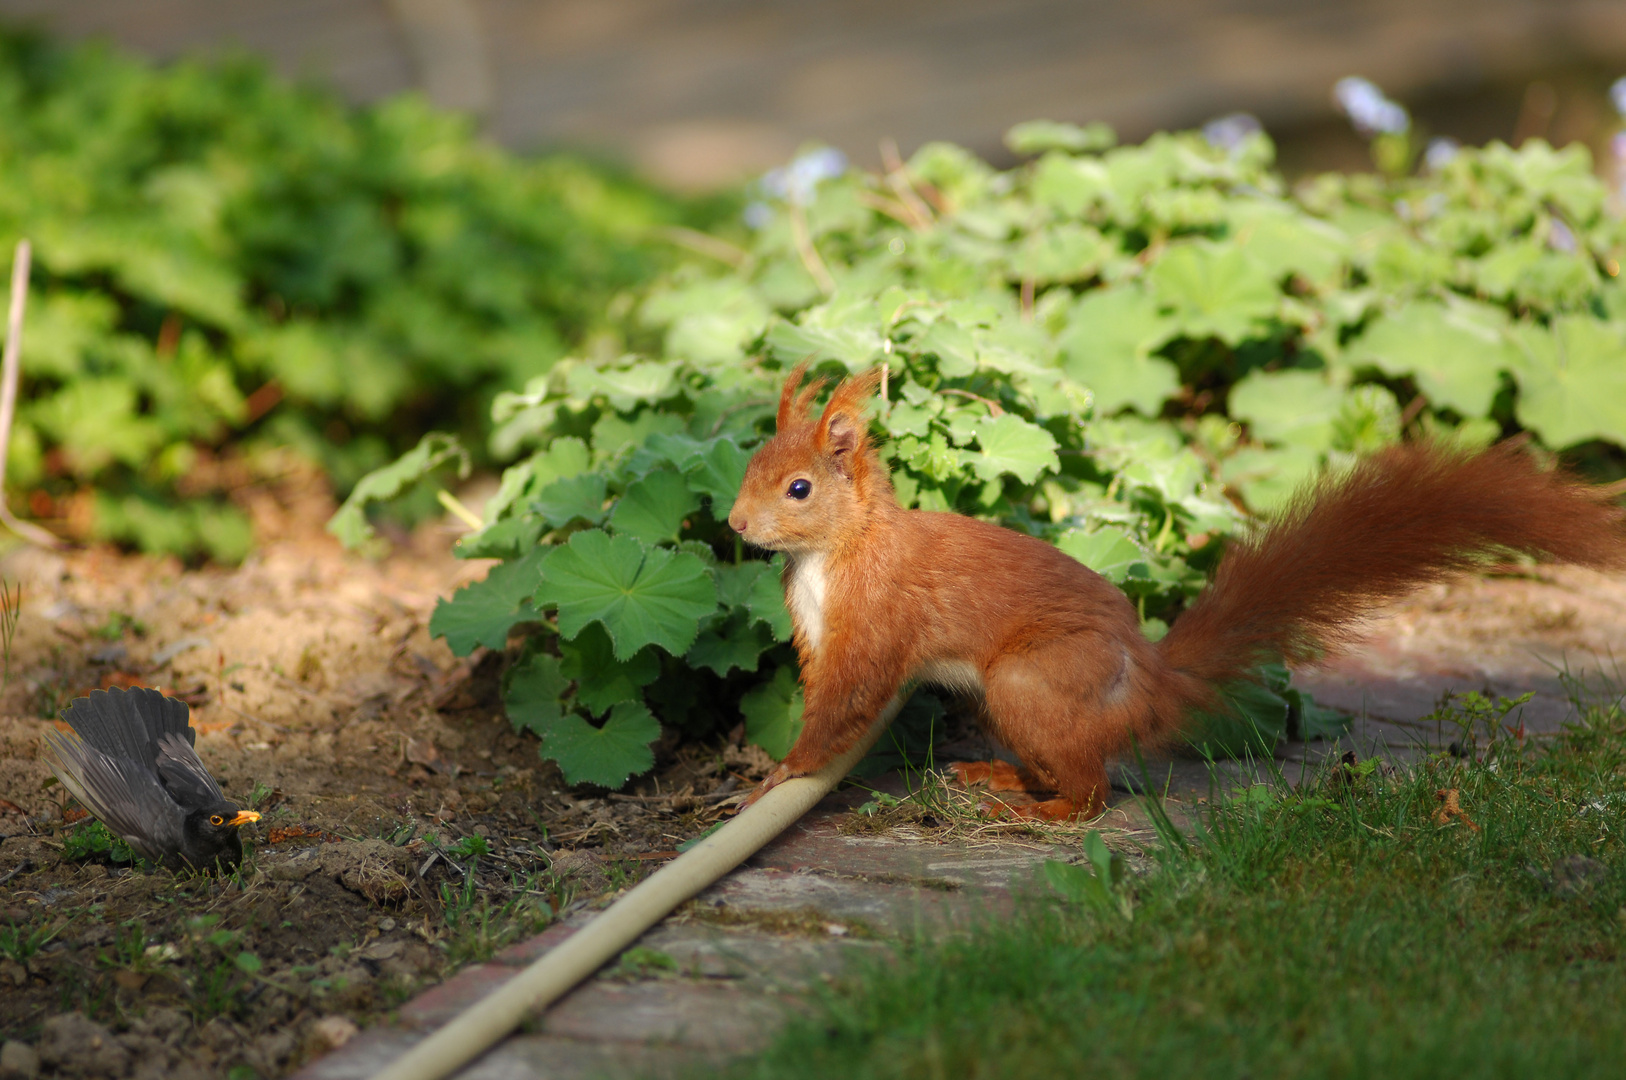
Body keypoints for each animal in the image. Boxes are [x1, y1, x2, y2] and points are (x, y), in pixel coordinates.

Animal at [728, 364, 1626, 819]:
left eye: (799, 488)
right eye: (749, 465)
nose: (735, 523)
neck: (833, 556)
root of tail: (1152, 679)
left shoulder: (877, 618)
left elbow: (847, 702)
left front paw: (778, 777)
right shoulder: (818, 632)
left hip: (1031, 682)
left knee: (1094, 793)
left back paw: (1039, 811)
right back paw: (1005, 779)